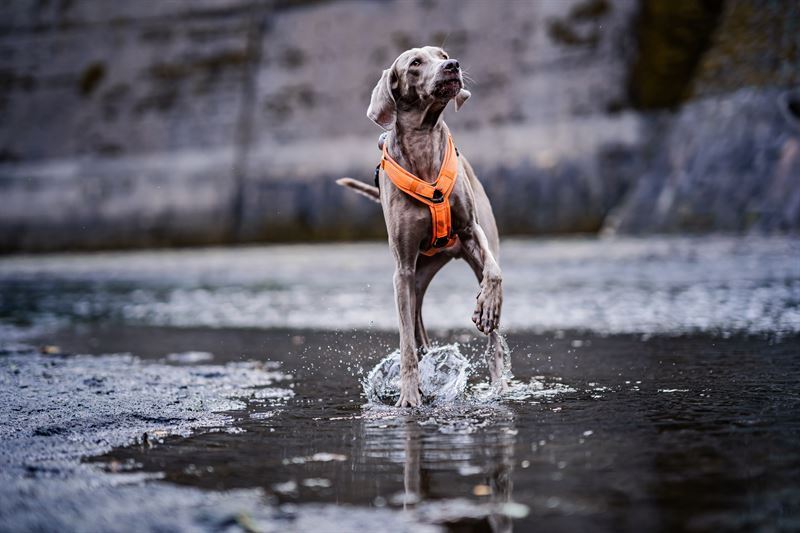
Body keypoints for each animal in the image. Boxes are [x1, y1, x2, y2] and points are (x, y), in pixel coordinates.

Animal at [338, 46, 506, 408]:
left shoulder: (473, 231)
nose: (453, 65)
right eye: (415, 63)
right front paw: (408, 396)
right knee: (415, 330)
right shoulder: (402, 270)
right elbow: (405, 344)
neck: (424, 141)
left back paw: (499, 384)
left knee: (493, 341)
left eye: (442, 54)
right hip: (416, 279)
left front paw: (487, 306)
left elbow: (494, 272)